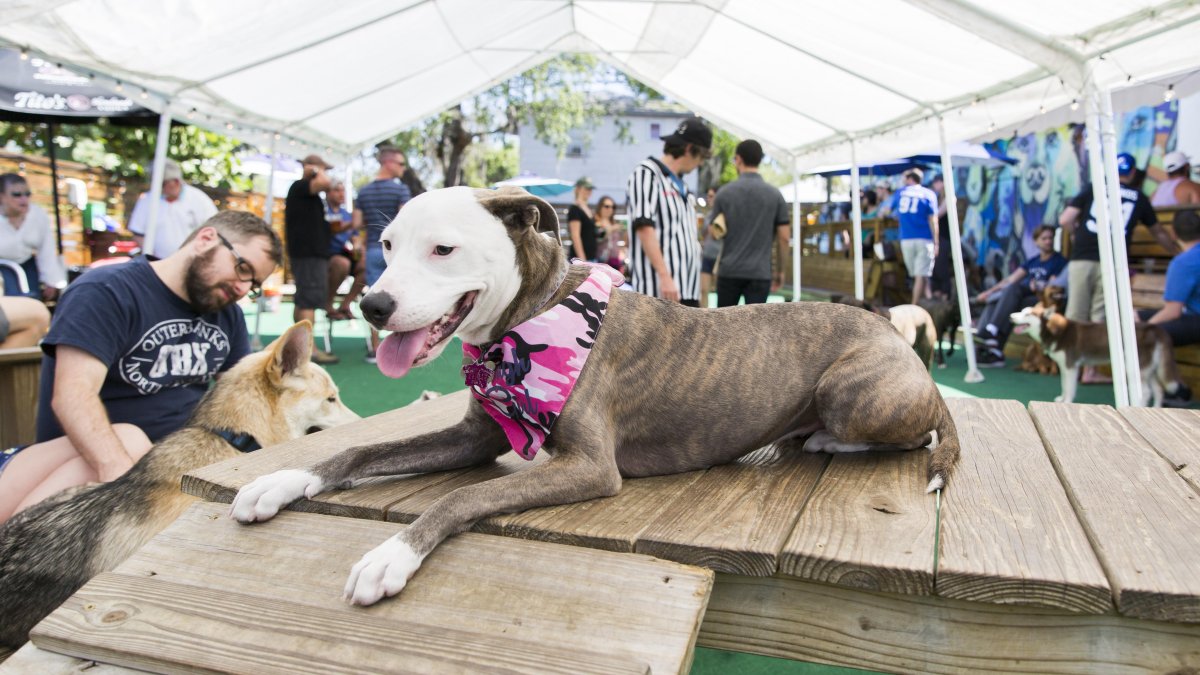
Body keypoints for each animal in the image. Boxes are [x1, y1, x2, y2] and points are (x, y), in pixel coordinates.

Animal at [231, 183, 964, 605]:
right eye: (385, 242)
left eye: (443, 249)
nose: (374, 306)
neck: (530, 315)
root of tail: (898, 338)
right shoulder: (474, 436)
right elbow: (358, 454)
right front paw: (282, 481)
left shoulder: (588, 466)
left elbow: (462, 497)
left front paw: (391, 555)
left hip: (851, 390)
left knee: (904, 434)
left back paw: (825, 437)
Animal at [1012, 305, 1180, 403]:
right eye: (1022, 311)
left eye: (1028, 314)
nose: (1011, 316)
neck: (1055, 330)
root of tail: (1154, 327)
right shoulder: (1064, 366)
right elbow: (1064, 385)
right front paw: (1062, 398)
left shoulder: (1071, 366)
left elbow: (1070, 387)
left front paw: (1067, 402)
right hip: (1151, 369)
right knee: (1158, 391)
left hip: (1137, 367)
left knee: (1145, 392)